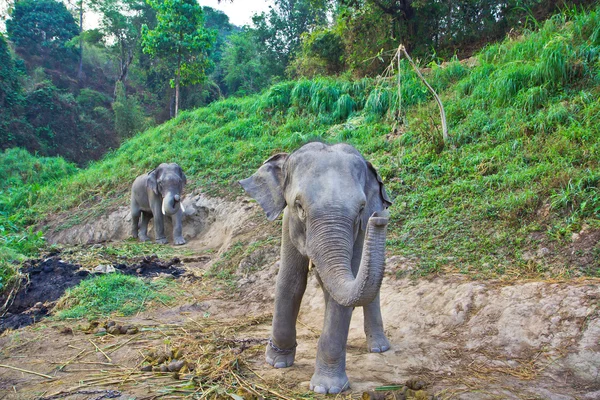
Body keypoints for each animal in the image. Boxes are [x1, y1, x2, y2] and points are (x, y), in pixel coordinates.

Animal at [239, 141, 394, 394]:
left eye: (361, 209)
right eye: (299, 206)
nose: (378, 218)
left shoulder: (358, 235)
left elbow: (341, 298)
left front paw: (326, 388)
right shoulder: (287, 221)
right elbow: (290, 281)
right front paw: (277, 362)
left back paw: (379, 348)